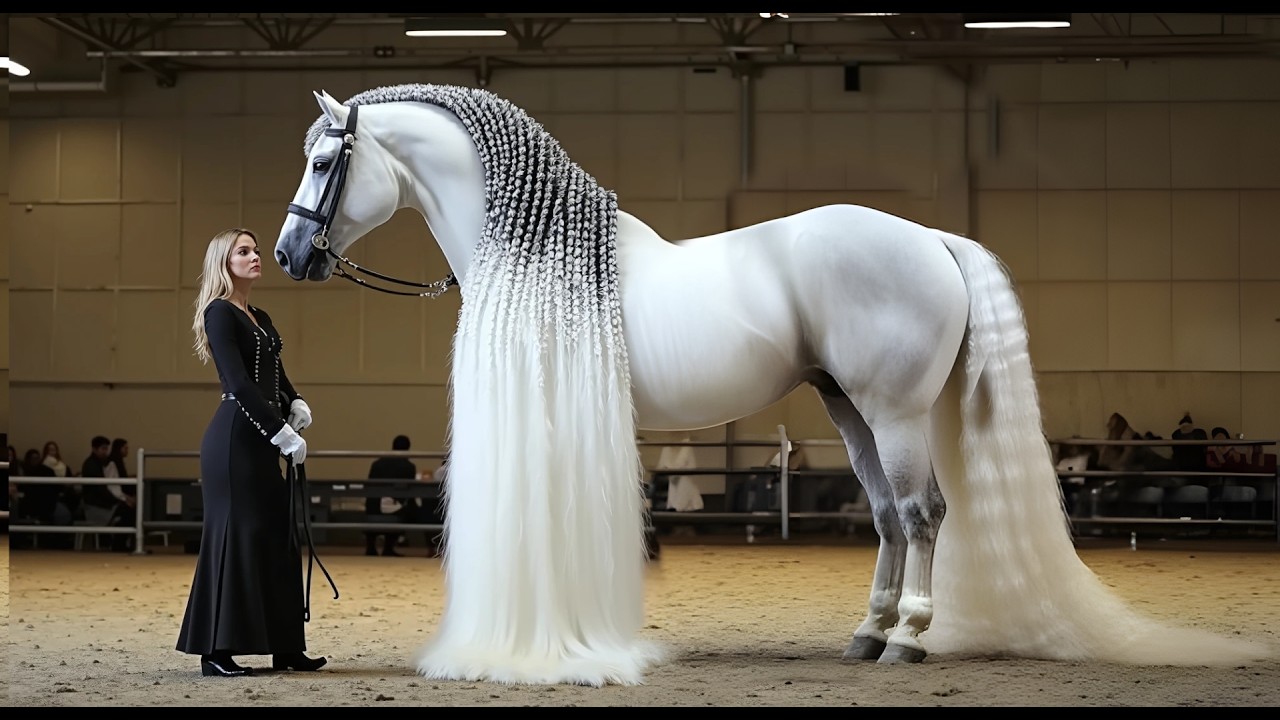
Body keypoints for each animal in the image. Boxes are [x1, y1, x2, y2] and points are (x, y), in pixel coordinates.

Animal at [273, 84, 1273, 686]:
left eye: (325, 163)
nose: (287, 253)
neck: (540, 254)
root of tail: (931, 237)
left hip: (895, 412)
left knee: (922, 514)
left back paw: (907, 639)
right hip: (848, 410)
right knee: (886, 516)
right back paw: (867, 633)